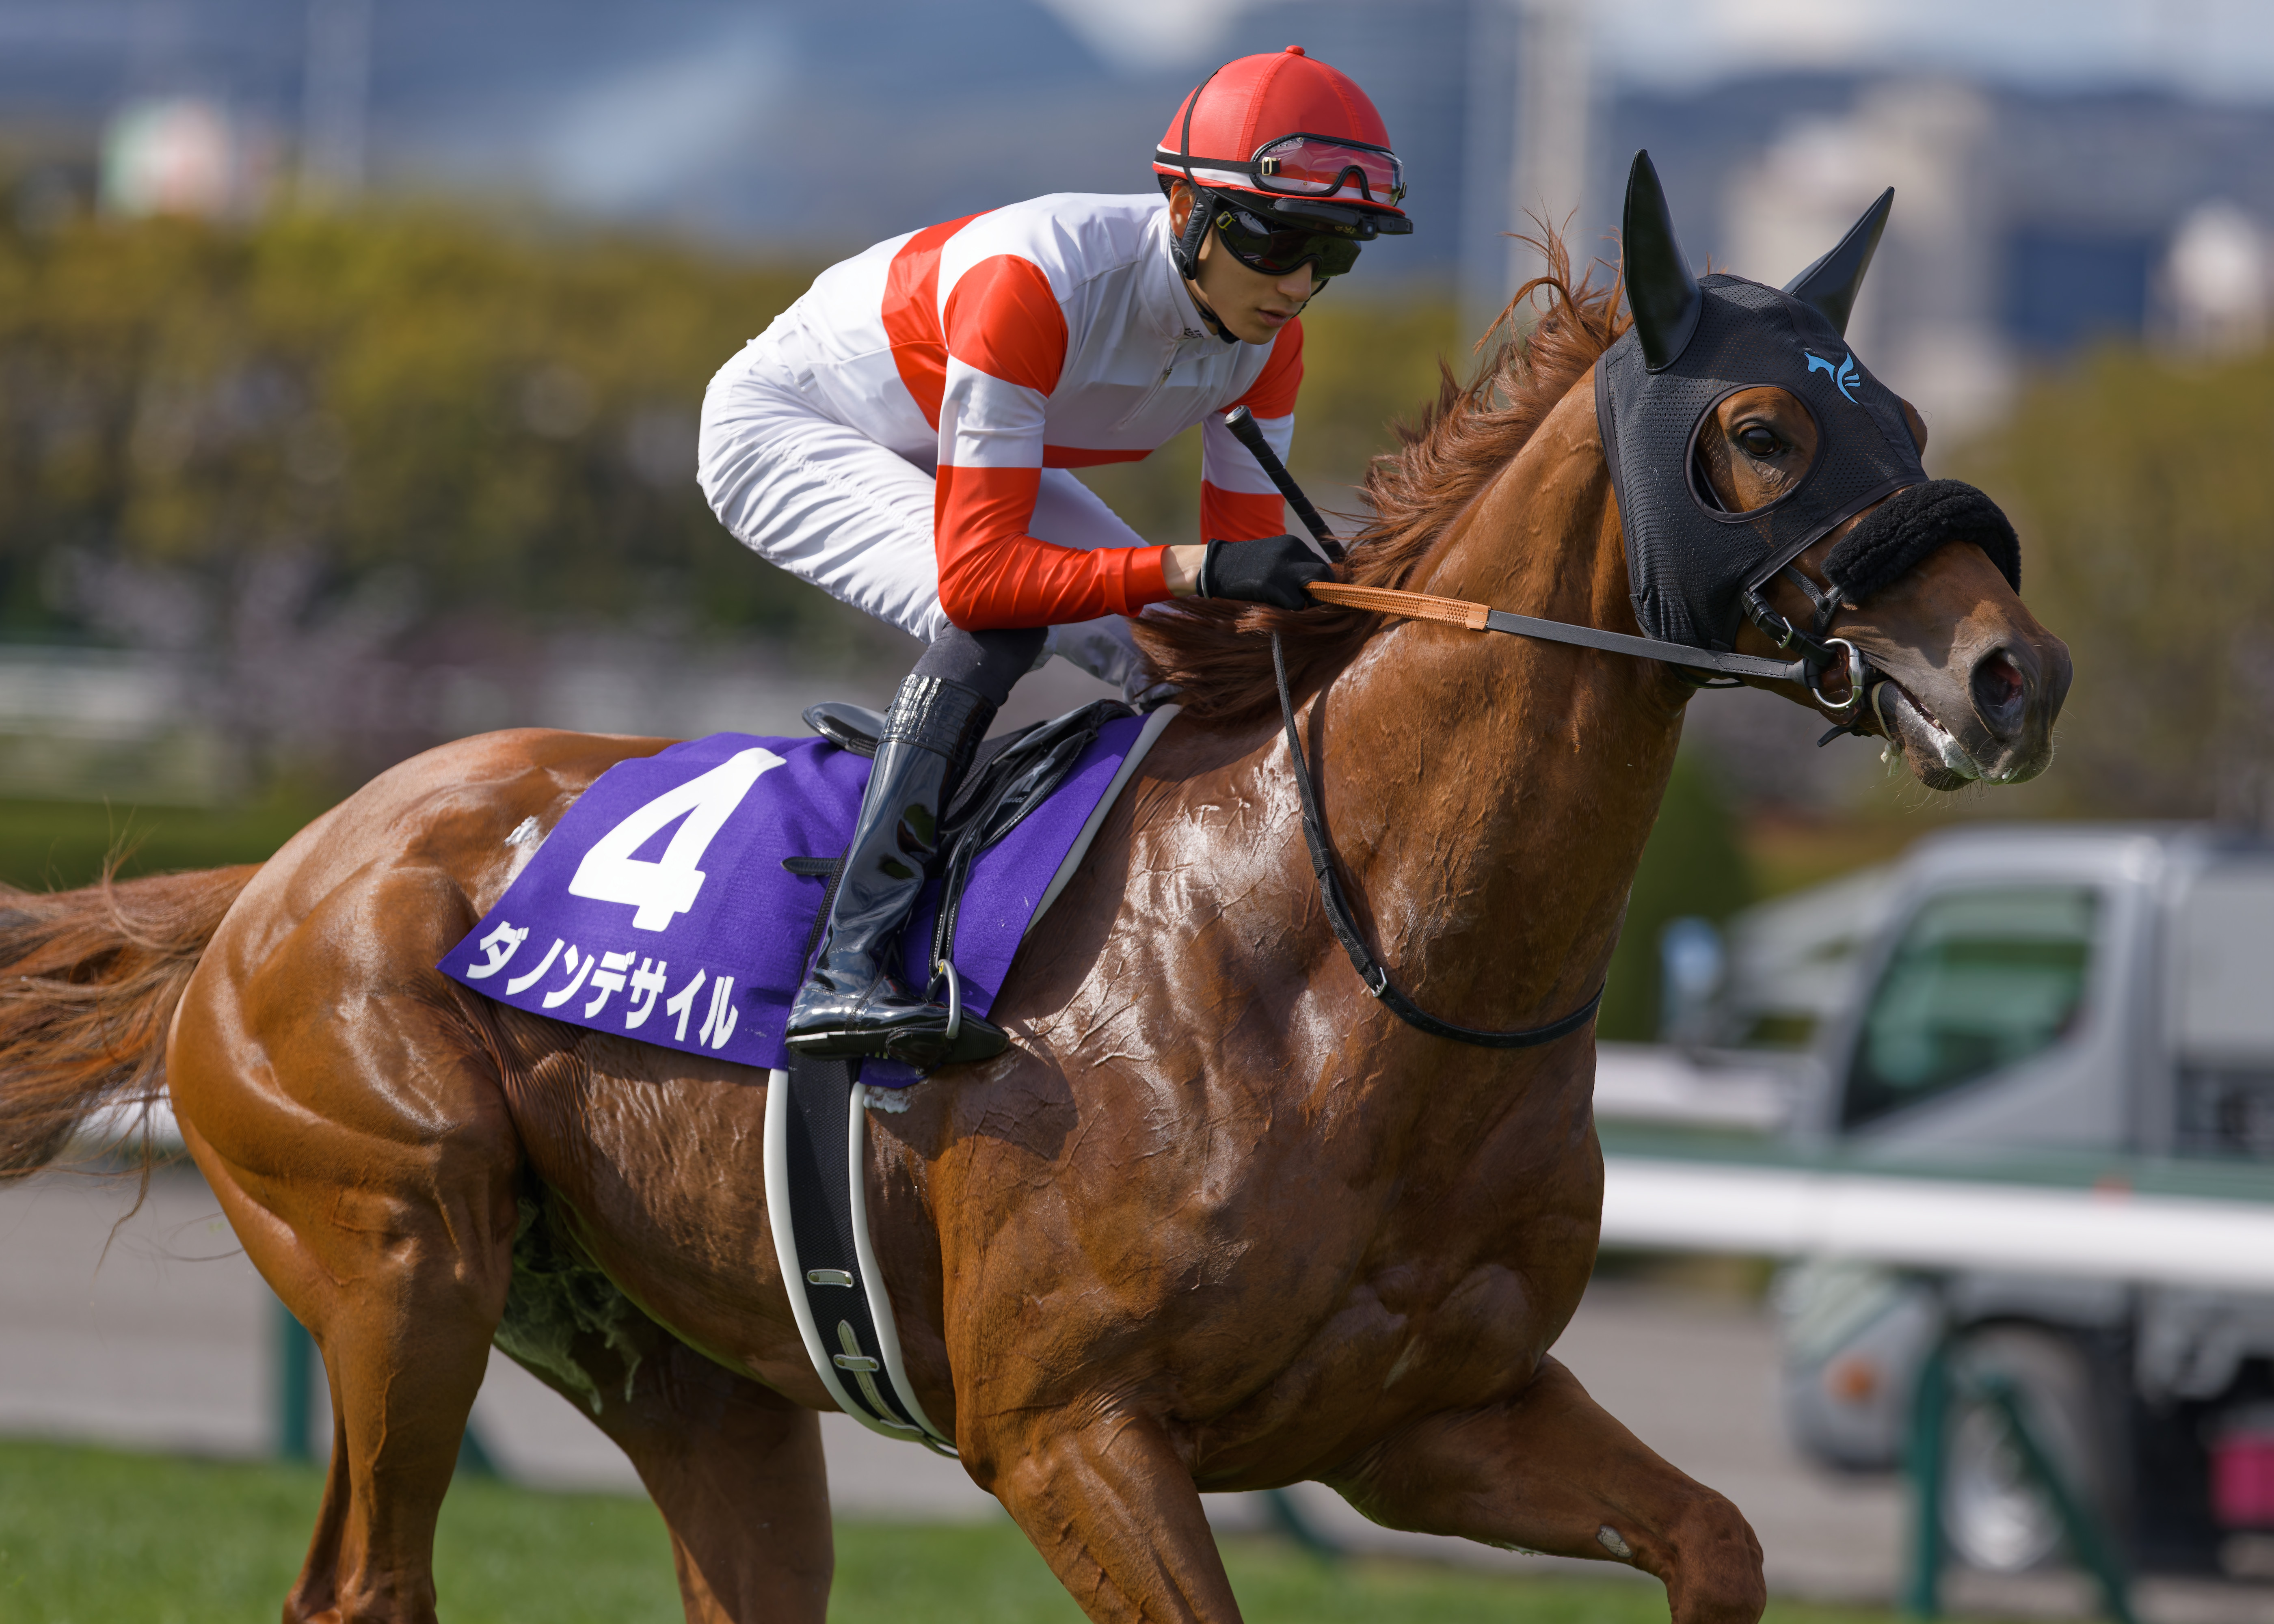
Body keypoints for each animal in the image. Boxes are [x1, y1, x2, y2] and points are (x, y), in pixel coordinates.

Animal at [0, 228, 2068, 1622]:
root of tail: (283, 868)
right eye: (1759, 429)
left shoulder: (1432, 1415)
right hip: (396, 1253)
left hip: (686, 1362)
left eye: (1909, 415)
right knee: (362, 1575)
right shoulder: (1065, 1425)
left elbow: (1716, 1538)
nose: (2012, 669)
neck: (1352, 957)